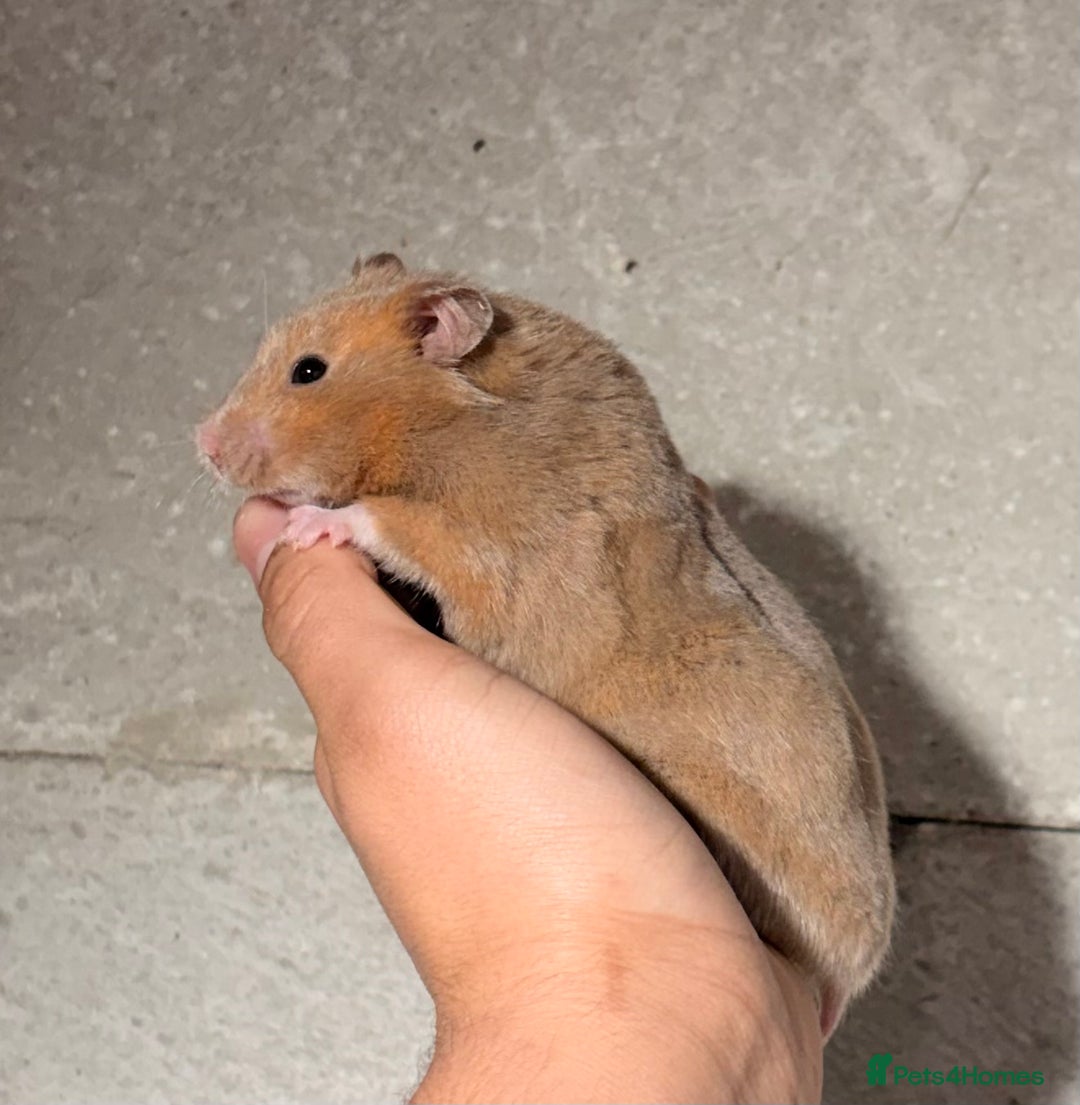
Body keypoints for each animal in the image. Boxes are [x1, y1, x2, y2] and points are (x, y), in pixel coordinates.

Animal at [197, 251, 895, 1038]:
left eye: (308, 371)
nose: (202, 444)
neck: (452, 420)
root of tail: (848, 977)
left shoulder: (493, 551)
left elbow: (392, 522)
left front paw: (304, 525)